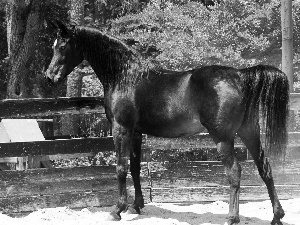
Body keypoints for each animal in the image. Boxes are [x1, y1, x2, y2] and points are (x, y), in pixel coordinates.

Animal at [44, 20, 288, 224]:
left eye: (62, 46)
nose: (49, 77)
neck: (125, 76)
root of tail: (240, 76)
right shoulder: (136, 132)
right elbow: (135, 168)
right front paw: (136, 206)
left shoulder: (121, 129)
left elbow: (121, 168)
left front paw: (117, 209)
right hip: (249, 132)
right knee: (265, 168)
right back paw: (277, 215)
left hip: (223, 137)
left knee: (235, 172)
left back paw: (232, 218)